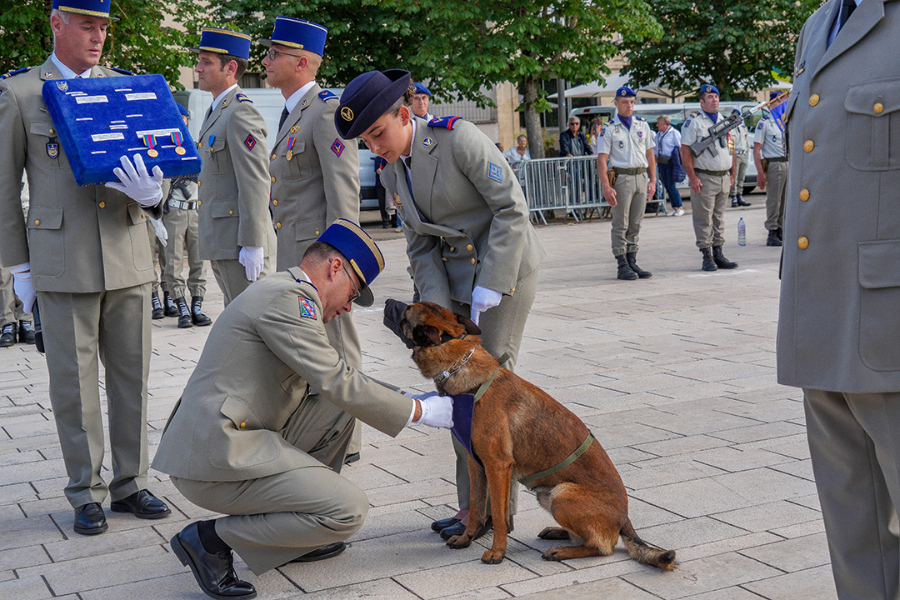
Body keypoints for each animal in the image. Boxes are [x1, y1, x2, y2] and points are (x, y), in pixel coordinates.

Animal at [386, 302, 676, 568]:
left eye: (406, 310)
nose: (388, 300)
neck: (466, 373)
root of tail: (625, 519)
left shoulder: (497, 467)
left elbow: (498, 516)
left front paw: (497, 552)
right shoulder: (476, 465)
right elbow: (477, 507)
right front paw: (467, 538)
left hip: (562, 493)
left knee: (603, 546)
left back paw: (563, 550)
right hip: (547, 495)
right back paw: (559, 533)